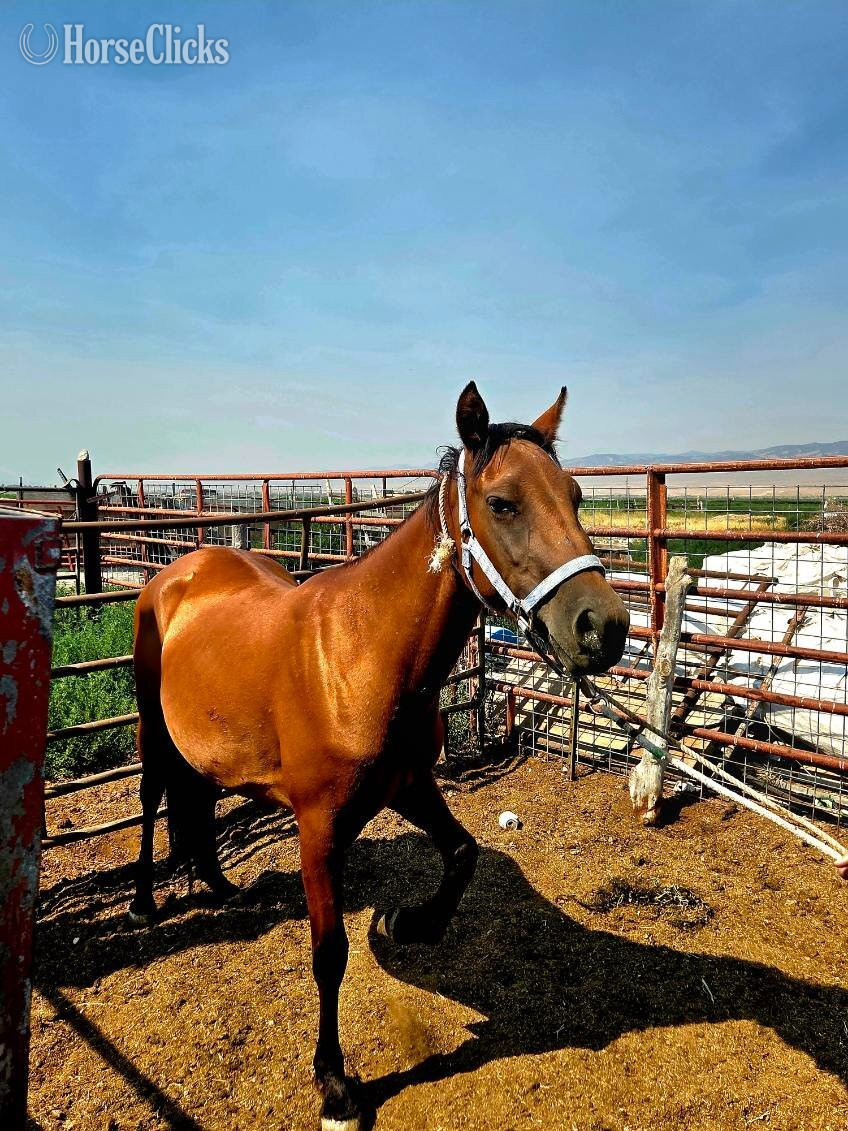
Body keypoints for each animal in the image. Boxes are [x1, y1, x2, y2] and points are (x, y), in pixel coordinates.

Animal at [129, 382, 630, 1130]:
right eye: (503, 502)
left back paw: (219, 884)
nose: (606, 626)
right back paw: (142, 902)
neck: (361, 652)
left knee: (202, 797)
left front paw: (409, 921)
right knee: (151, 798)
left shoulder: (410, 784)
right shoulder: (318, 829)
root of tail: (178, 568)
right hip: (151, 730)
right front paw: (335, 1085)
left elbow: (463, 852)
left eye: (575, 495)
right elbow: (329, 953)